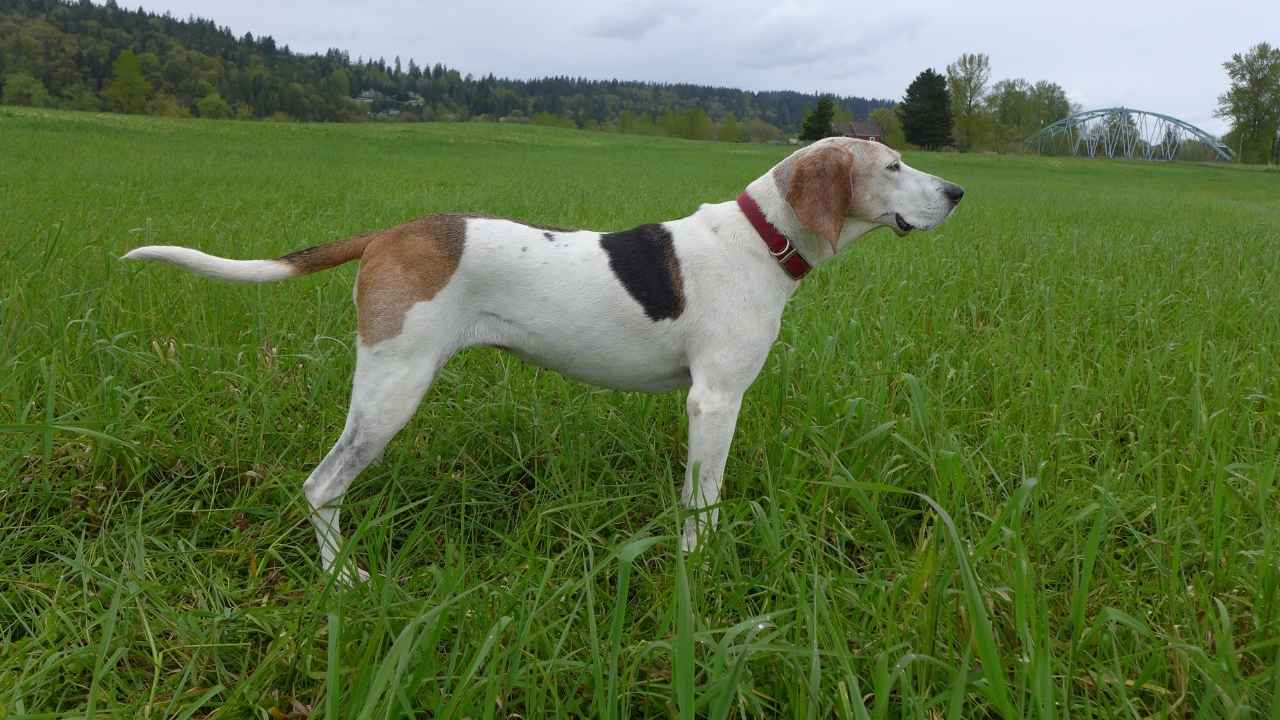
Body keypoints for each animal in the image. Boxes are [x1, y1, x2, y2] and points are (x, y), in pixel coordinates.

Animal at [124, 137, 962, 579]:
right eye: (891, 166)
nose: (956, 193)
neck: (761, 238)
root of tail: (392, 232)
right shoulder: (714, 400)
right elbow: (704, 502)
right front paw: (699, 568)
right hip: (392, 389)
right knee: (320, 485)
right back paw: (342, 577)